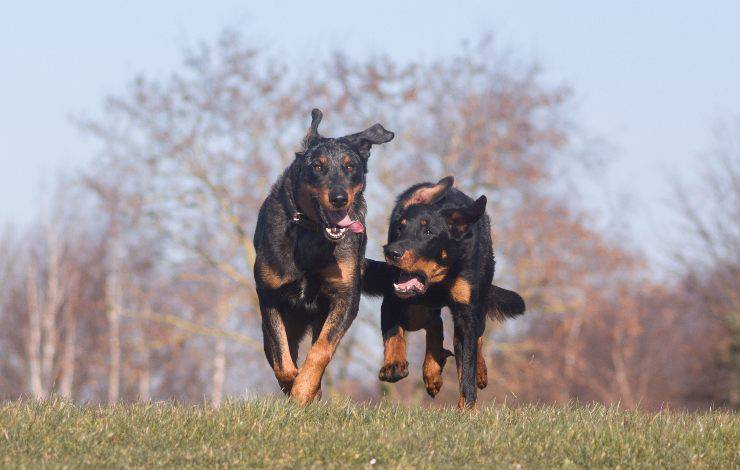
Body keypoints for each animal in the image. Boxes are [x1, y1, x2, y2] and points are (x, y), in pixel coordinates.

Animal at [253, 107, 394, 404]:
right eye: (317, 166)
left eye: (350, 166)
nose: (339, 198)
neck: (311, 233)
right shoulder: (270, 296)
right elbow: (282, 358)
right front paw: (294, 385)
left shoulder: (346, 297)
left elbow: (321, 350)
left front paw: (304, 389)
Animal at [364, 176, 528, 408]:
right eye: (399, 228)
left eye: (428, 232)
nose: (391, 252)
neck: (439, 278)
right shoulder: (394, 296)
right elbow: (393, 332)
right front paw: (393, 364)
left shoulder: (467, 310)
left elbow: (467, 363)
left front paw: (467, 407)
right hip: (416, 310)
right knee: (434, 323)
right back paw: (431, 372)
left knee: (474, 336)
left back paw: (477, 371)